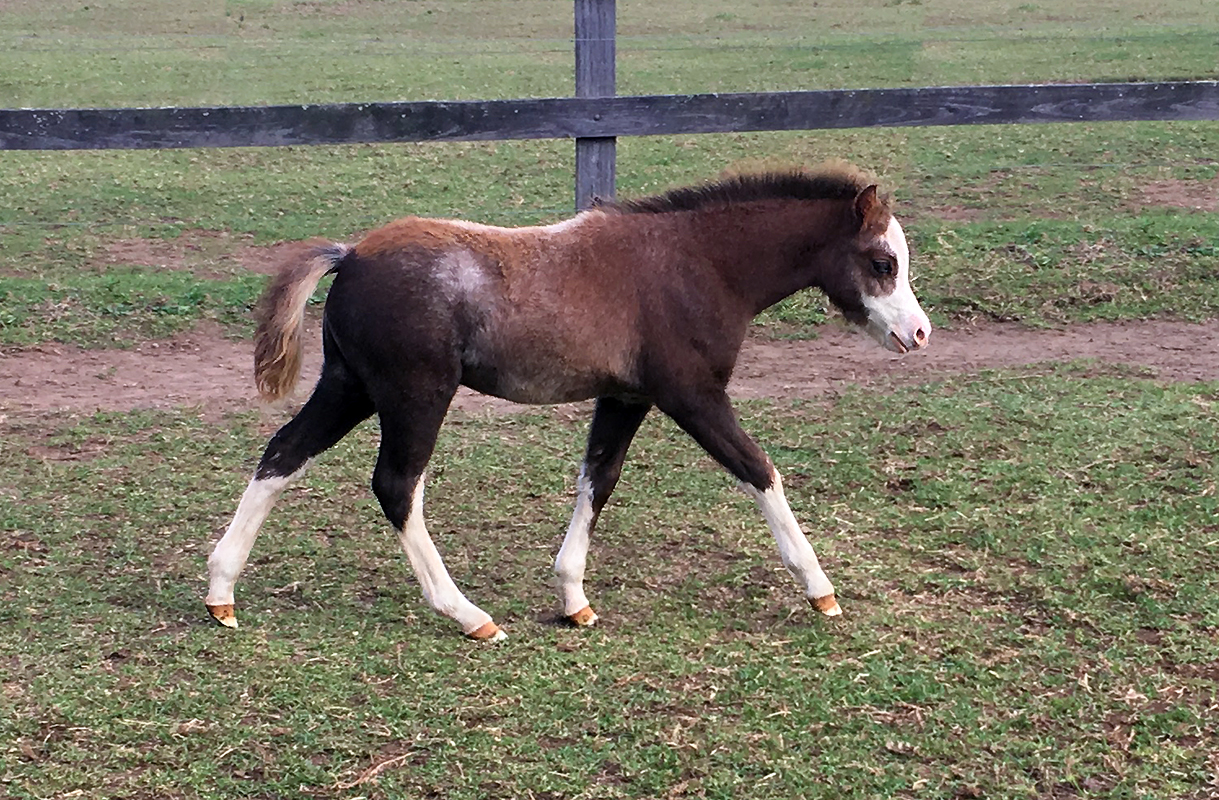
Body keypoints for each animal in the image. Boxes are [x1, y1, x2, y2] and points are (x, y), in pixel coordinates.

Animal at [205, 163, 931, 641]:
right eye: (881, 261)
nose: (918, 333)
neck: (694, 263)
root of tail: (351, 255)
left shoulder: (626, 398)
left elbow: (597, 482)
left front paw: (573, 598)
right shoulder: (692, 396)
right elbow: (759, 470)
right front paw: (820, 589)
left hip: (350, 387)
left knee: (282, 455)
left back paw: (221, 592)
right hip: (416, 396)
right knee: (396, 485)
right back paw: (469, 616)